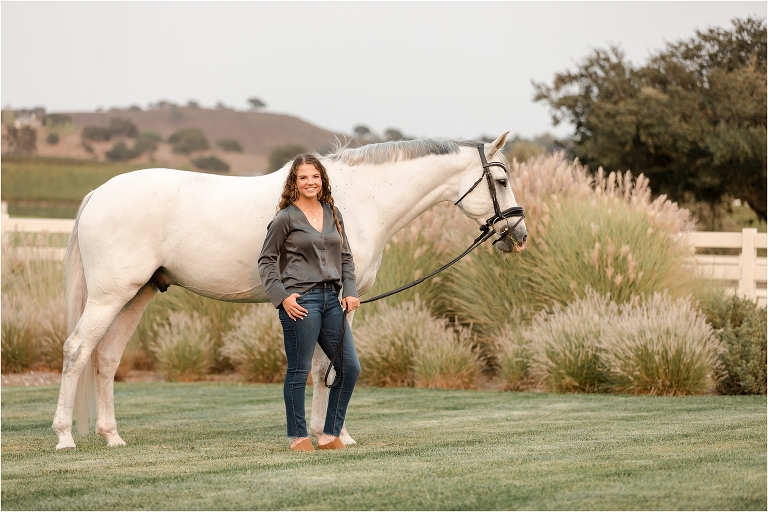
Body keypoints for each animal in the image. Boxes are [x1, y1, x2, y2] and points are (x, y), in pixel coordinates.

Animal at [52, 131, 527, 450]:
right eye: (502, 182)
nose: (518, 234)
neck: (361, 198)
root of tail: (98, 193)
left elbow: (322, 367)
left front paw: (324, 433)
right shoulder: (342, 301)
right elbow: (328, 368)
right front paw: (334, 435)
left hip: (137, 294)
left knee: (107, 358)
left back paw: (112, 437)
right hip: (111, 296)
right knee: (78, 350)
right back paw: (64, 437)